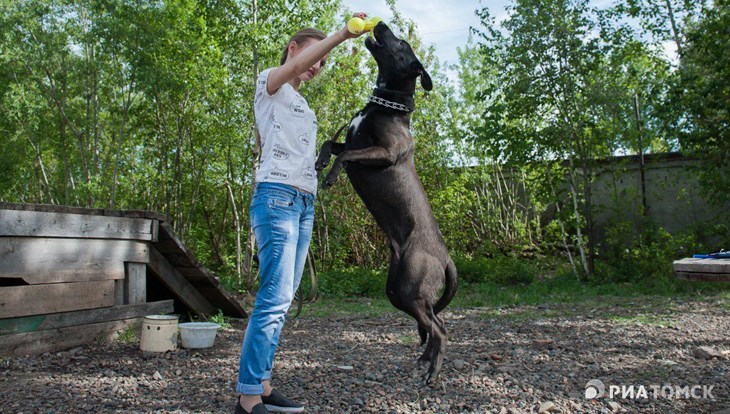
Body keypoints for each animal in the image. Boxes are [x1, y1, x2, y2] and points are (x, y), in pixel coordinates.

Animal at [318, 22, 458, 384]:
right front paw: (320, 161)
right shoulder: (351, 140)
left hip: (411, 288)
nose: (380, 24)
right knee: (435, 323)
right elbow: (330, 143)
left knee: (439, 330)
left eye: (402, 43)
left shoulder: (384, 153)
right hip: (397, 291)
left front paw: (330, 176)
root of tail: (446, 258)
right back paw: (423, 361)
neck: (385, 106)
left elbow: (347, 156)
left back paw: (432, 373)